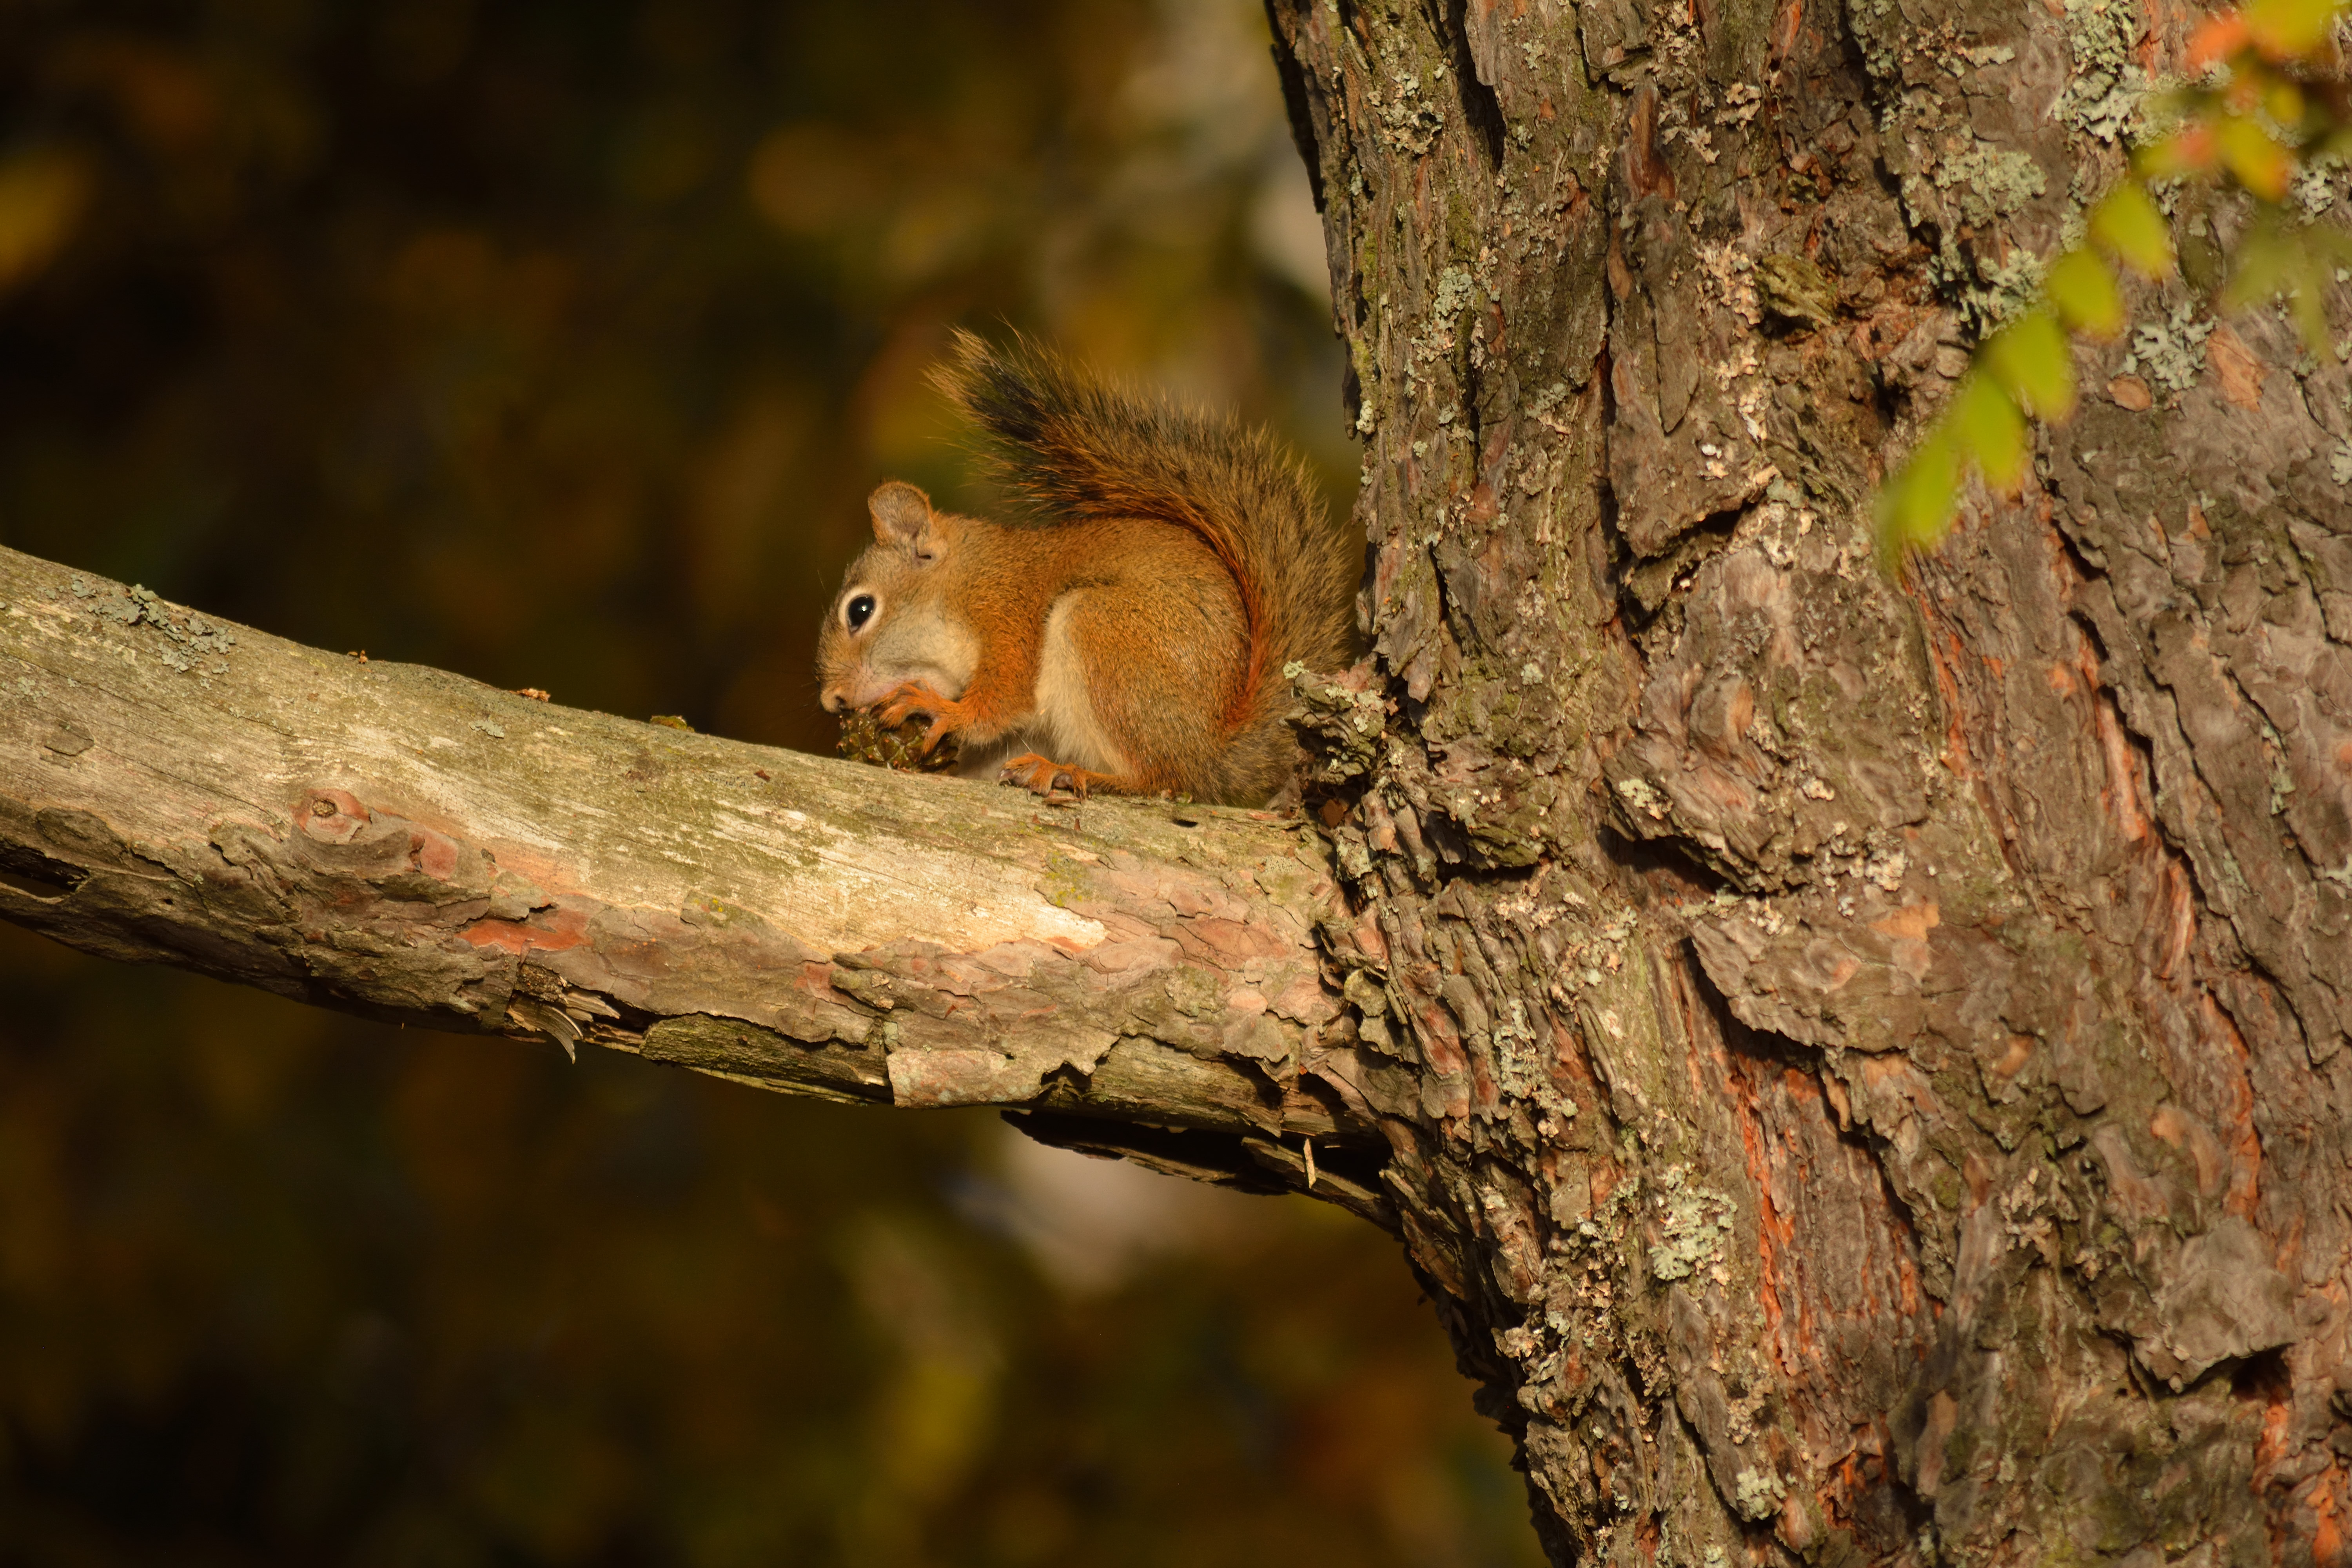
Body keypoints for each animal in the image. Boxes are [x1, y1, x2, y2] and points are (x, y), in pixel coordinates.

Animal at [817, 332, 1357, 806]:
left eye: (860, 610)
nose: (833, 702)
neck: (961, 582)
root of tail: (1212, 750)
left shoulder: (1007, 613)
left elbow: (1003, 700)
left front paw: (938, 707)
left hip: (1103, 634)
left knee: (1162, 780)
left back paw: (1067, 772)